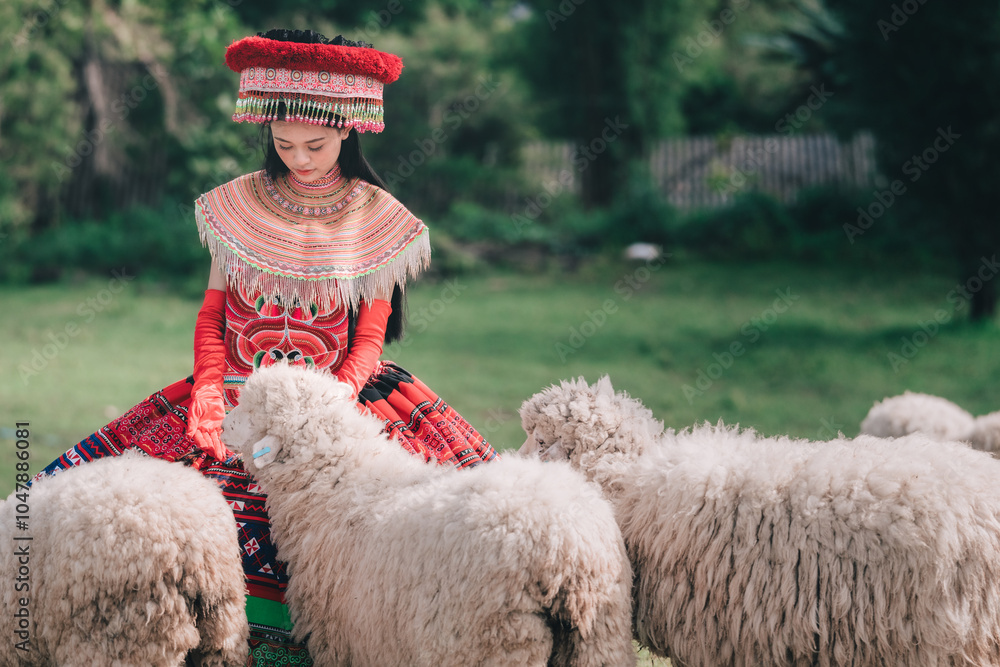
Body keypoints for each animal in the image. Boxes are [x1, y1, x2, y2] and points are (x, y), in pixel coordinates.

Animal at [224, 366, 636, 667]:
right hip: (599, 637)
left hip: (494, 642)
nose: (223, 422)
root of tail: (566, 550)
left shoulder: (345, 640)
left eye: (249, 414)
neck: (340, 480)